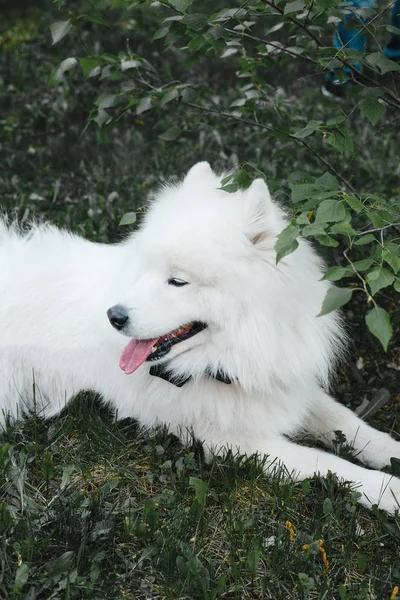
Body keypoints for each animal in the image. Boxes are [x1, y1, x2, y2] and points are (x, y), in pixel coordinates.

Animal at [0, 163, 400, 510]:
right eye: (145, 271)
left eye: (177, 281)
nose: (114, 316)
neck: (231, 354)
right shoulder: (234, 441)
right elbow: (328, 463)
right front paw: (389, 490)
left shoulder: (279, 386)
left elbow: (346, 421)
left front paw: (390, 451)